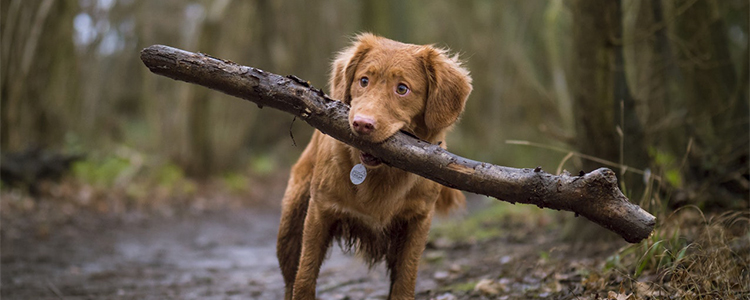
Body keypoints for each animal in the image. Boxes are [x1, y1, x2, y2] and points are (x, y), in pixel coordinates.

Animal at [276, 33, 476, 300]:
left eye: (402, 89)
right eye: (363, 81)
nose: (362, 124)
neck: (380, 174)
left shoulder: (417, 221)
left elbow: (404, 282)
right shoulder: (319, 212)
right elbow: (305, 278)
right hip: (290, 224)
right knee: (290, 276)